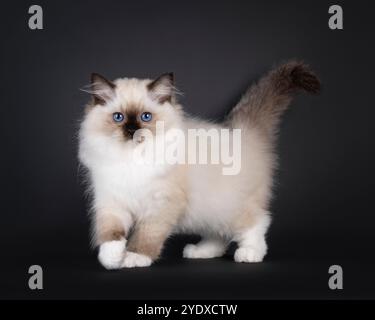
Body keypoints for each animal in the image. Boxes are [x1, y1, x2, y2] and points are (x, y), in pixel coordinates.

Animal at [78, 61, 320, 268]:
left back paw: (250, 253)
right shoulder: (112, 200)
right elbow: (111, 233)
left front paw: (135, 257)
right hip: (209, 210)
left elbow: (147, 234)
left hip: (229, 205)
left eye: (145, 117)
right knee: (219, 235)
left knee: (257, 222)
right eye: (118, 118)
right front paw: (111, 258)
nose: (131, 130)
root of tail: (243, 131)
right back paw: (200, 252)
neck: (132, 159)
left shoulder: (161, 204)